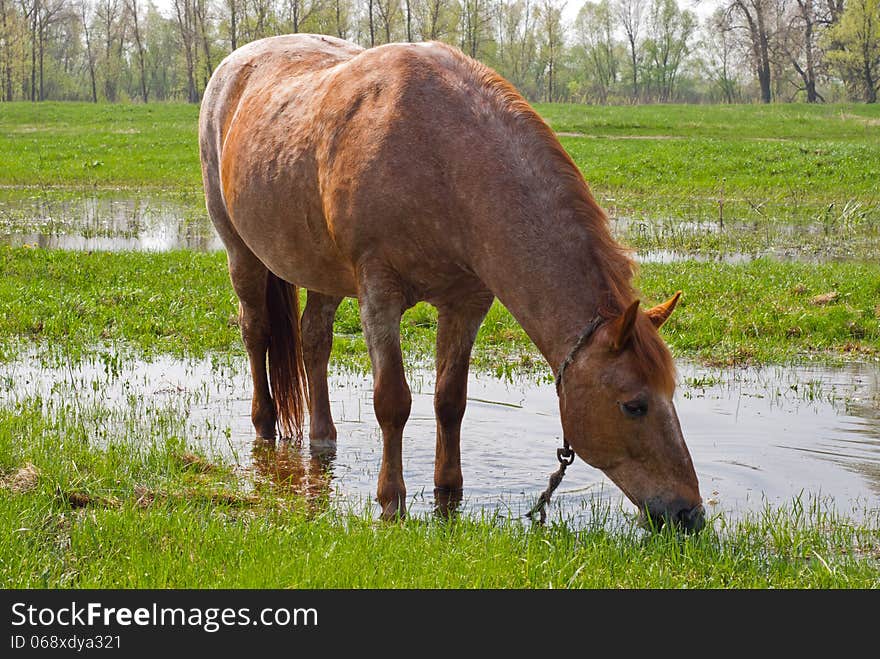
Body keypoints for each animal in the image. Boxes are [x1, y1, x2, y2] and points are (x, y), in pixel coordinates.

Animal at [196, 33, 704, 532]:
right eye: (634, 405)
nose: (690, 514)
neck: (442, 158)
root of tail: (233, 66)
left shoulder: (467, 302)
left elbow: (450, 400)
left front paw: (448, 493)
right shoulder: (379, 294)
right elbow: (393, 401)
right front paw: (391, 501)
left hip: (322, 272)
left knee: (314, 341)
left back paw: (323, 442)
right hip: (242, 254)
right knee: (256, 332)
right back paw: (264, 427)